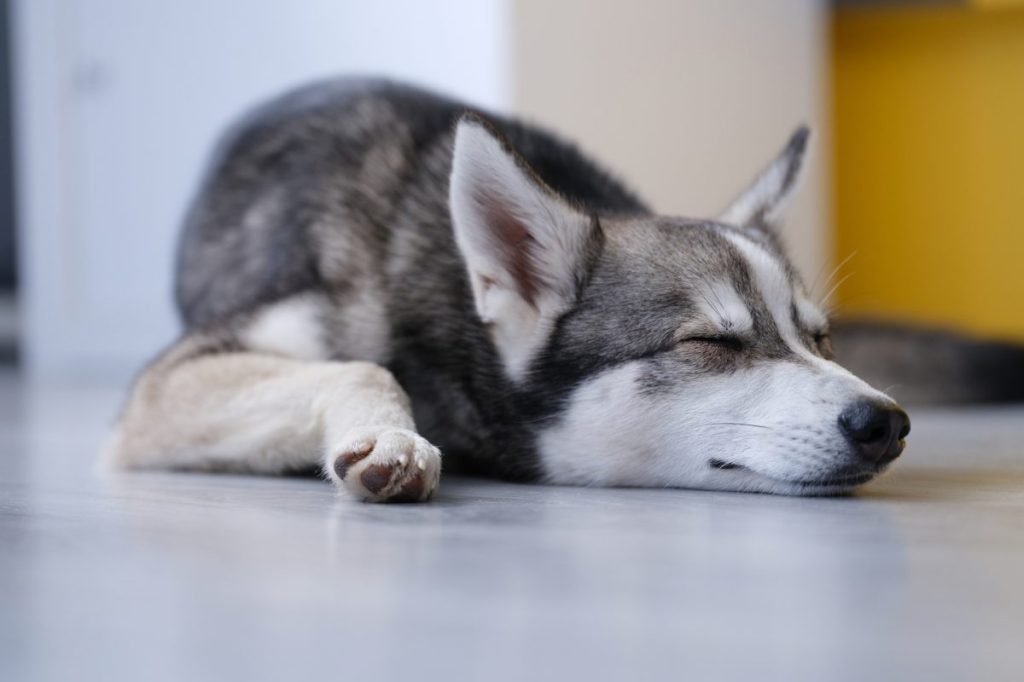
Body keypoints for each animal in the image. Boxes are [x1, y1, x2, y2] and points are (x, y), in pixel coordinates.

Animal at [103, 78, 909, 499]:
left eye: (820, 338)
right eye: (713, 342)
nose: (888, 421)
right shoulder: (163, 387)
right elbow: (363, 367)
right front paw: (392, 434)